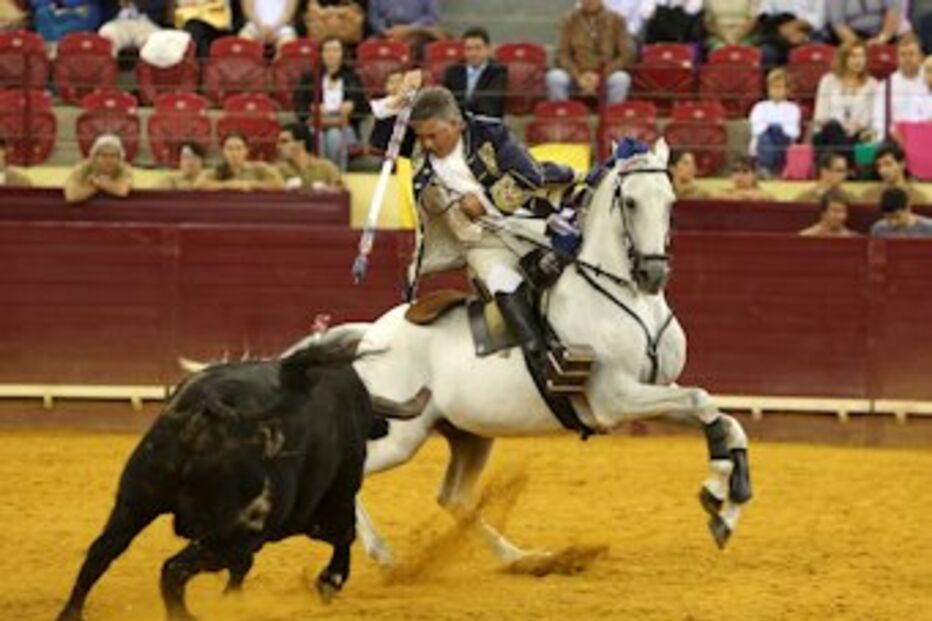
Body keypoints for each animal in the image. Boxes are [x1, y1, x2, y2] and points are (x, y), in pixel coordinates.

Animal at [347, 138, 752, 564]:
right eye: (630, 202)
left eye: (670, 201)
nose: (652, 274)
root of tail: (371, 335)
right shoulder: (615, 399)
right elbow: (703, 402)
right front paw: (717, 489)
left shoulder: (657, 387)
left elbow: (721, 417)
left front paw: (727, 507)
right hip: (402, 434)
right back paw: (383, 555)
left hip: (467, 432)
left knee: (453, 497)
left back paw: (521, 559)